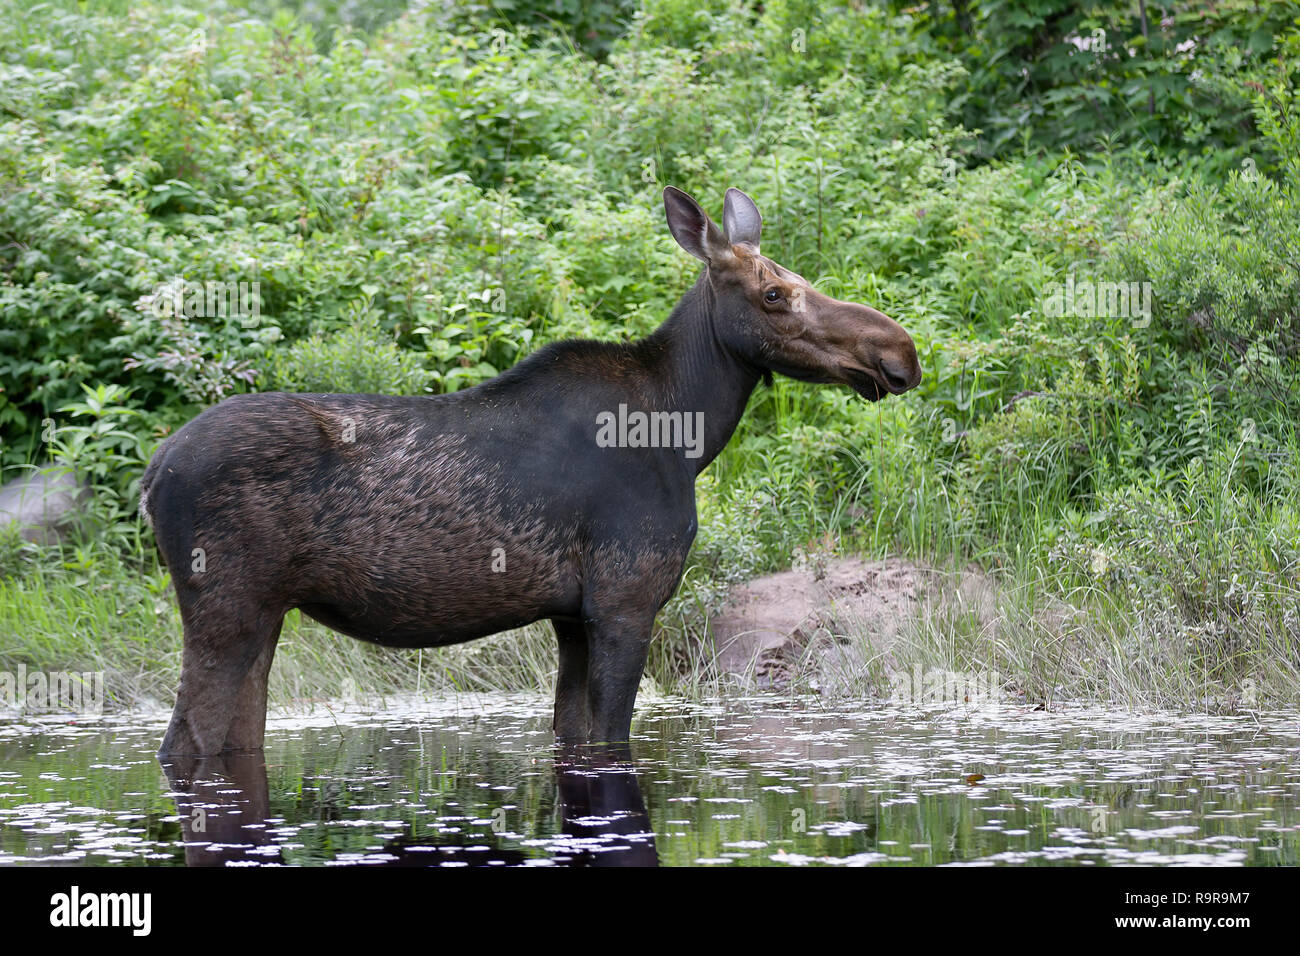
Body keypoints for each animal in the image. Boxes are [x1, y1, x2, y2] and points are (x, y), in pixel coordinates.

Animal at [144, 184, 925, 754]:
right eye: (773, 294)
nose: (901, 351)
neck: (690, 435)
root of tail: (151, 474)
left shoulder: (571, 617)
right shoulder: (624, 598)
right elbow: (610, 739)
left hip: (264, 615)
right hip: (227, 606)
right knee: (186, 742)